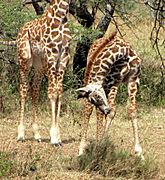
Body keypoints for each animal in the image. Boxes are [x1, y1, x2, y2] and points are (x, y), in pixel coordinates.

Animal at [16, 0, 71, 146]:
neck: (61, 16)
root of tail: (21, 30)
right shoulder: (52, 55)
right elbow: (52, 92)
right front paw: (54, 137)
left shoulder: (64, 57)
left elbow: (59, 92)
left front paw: (58, 136)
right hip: (24, 60)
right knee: (23, 89)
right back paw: (21, 134)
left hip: (39, 64)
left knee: (34, 89)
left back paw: (37, 134)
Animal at [76, 31, 144, 160]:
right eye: (94, 98)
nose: (105, 109)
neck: (123, 53)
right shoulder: (113, 80)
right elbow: (110, 111)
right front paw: (101, 147)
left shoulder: (133, 79)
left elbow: (132, 110)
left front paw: (139, 153)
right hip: (105, 83)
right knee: (89, 110)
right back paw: (82, 149)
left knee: (99, 111)